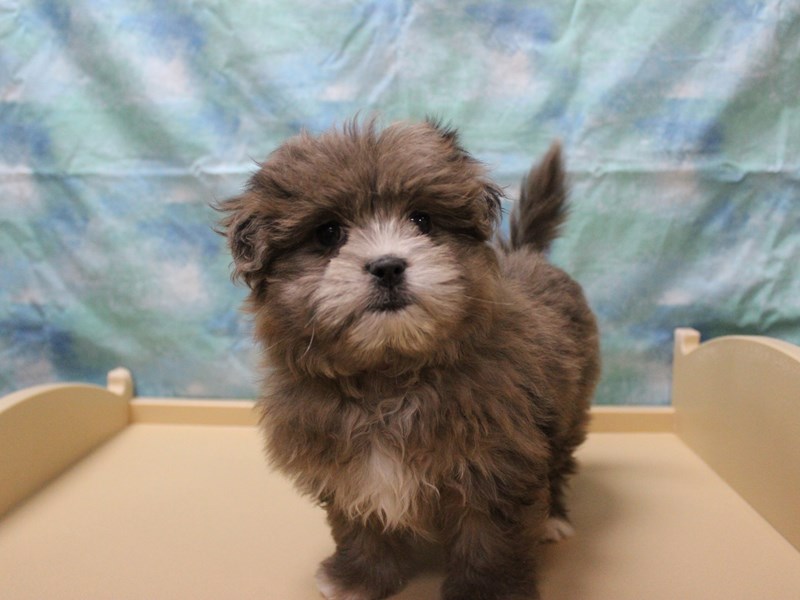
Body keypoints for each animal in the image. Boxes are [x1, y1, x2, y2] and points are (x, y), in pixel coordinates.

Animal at [218, 118, 600, 600]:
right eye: (328, 233)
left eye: (422, 220)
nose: (387, 266)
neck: (390, 377)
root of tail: (525, 253)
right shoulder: (347, 468)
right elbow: (361, 527)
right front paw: (359, 578)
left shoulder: (497, 467)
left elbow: (489, 541)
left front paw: (486, 592)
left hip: (569, 405)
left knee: (559, 458)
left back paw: (552, 518)